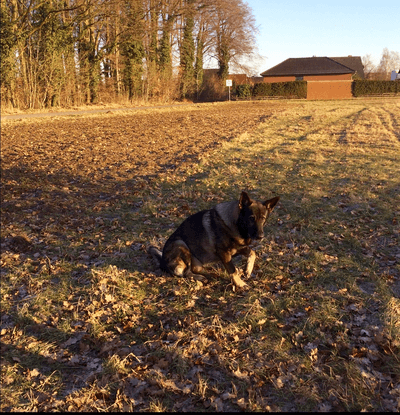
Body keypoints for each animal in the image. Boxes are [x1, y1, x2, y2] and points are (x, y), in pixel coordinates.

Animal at [147, 192, 278, 290]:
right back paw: (202, 277)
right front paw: (240, 284)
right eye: (251, 218)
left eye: (263, 219)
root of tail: (162, 261)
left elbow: (252, 252)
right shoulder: (224, 253)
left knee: (194, 269)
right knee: (186, 273)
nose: (261, 236)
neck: (234, 223)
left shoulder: (237, 249)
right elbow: (233, 270)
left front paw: (248, 270)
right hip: (180, 243)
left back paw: (211, 273)